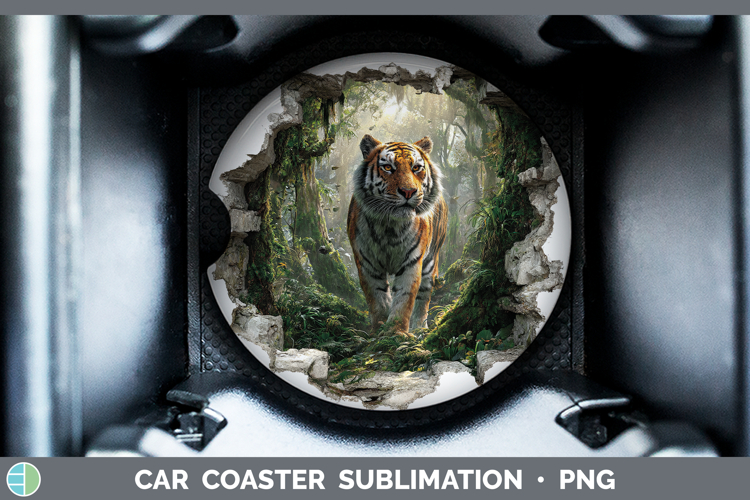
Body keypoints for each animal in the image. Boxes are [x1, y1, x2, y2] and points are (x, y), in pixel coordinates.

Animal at [347, 134, 448, 335]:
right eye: (387, 167)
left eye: (416, 168)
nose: (408, 192)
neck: (389, 227)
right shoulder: (367, 264)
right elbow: (377, 298)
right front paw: (379, 329)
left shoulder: (412, 262)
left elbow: (404, 298)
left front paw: (396, 332)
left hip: (430, 262)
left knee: (424, 297)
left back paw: (420, 328)